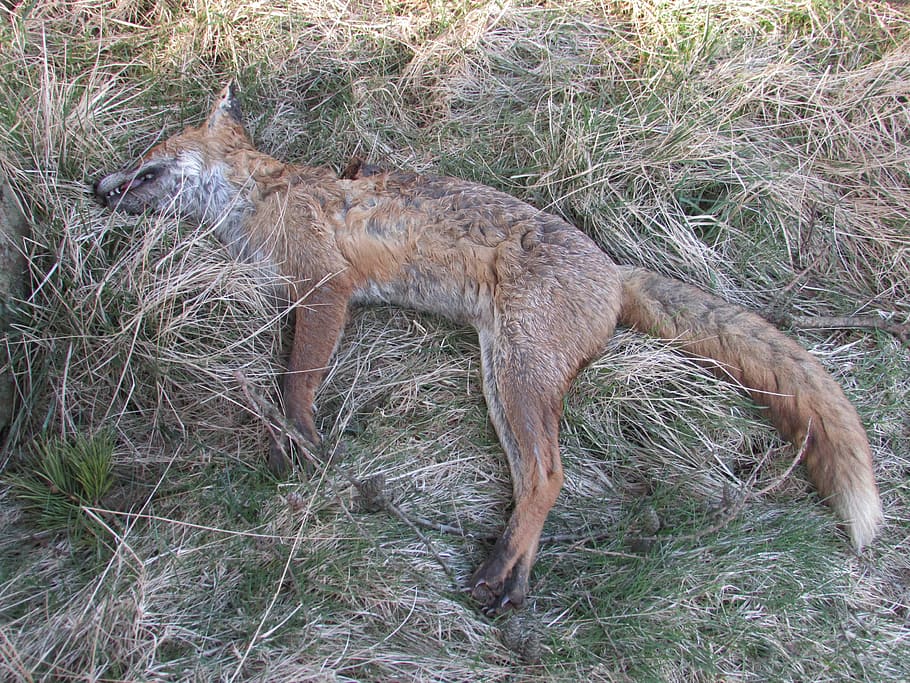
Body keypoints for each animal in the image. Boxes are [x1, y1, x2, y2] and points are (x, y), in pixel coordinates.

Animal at [94, 83, 883, 613]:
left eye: (147, 156)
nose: (96, 187)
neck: (262, 195)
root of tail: (613, 271)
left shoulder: (322, 288)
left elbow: (296, 377)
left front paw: (297, 434)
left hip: (513, 376)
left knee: (549, 476)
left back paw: (499, 569)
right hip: (509, 379)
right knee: (543, 480)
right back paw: (515, 581)